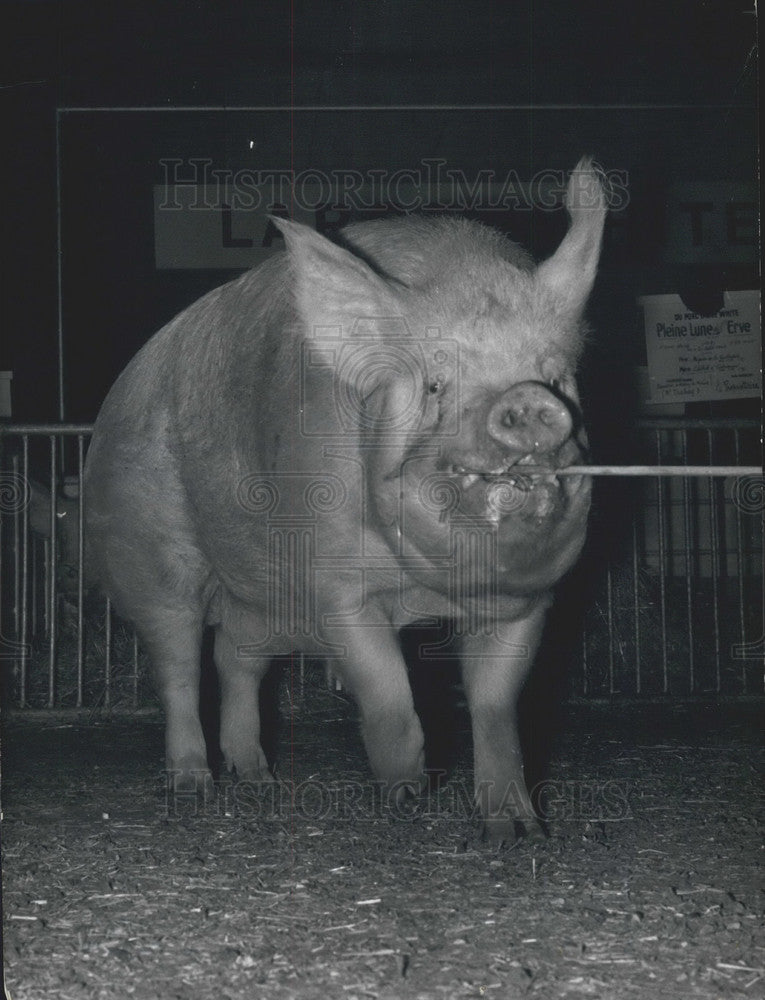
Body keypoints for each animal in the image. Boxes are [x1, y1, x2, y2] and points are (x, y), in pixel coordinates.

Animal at [83, 158, 604, 844]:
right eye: (434, 385)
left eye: (557, 378)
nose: (528, 402)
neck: (427, 594)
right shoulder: (330, 578)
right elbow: (382, 682)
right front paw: (409, 790)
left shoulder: (530, 598)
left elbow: (496, 702)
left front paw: (517, 835)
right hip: (149, 550)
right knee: (177, 663)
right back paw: (194, 790)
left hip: (261, 597)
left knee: (235, 659)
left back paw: (258, 780)